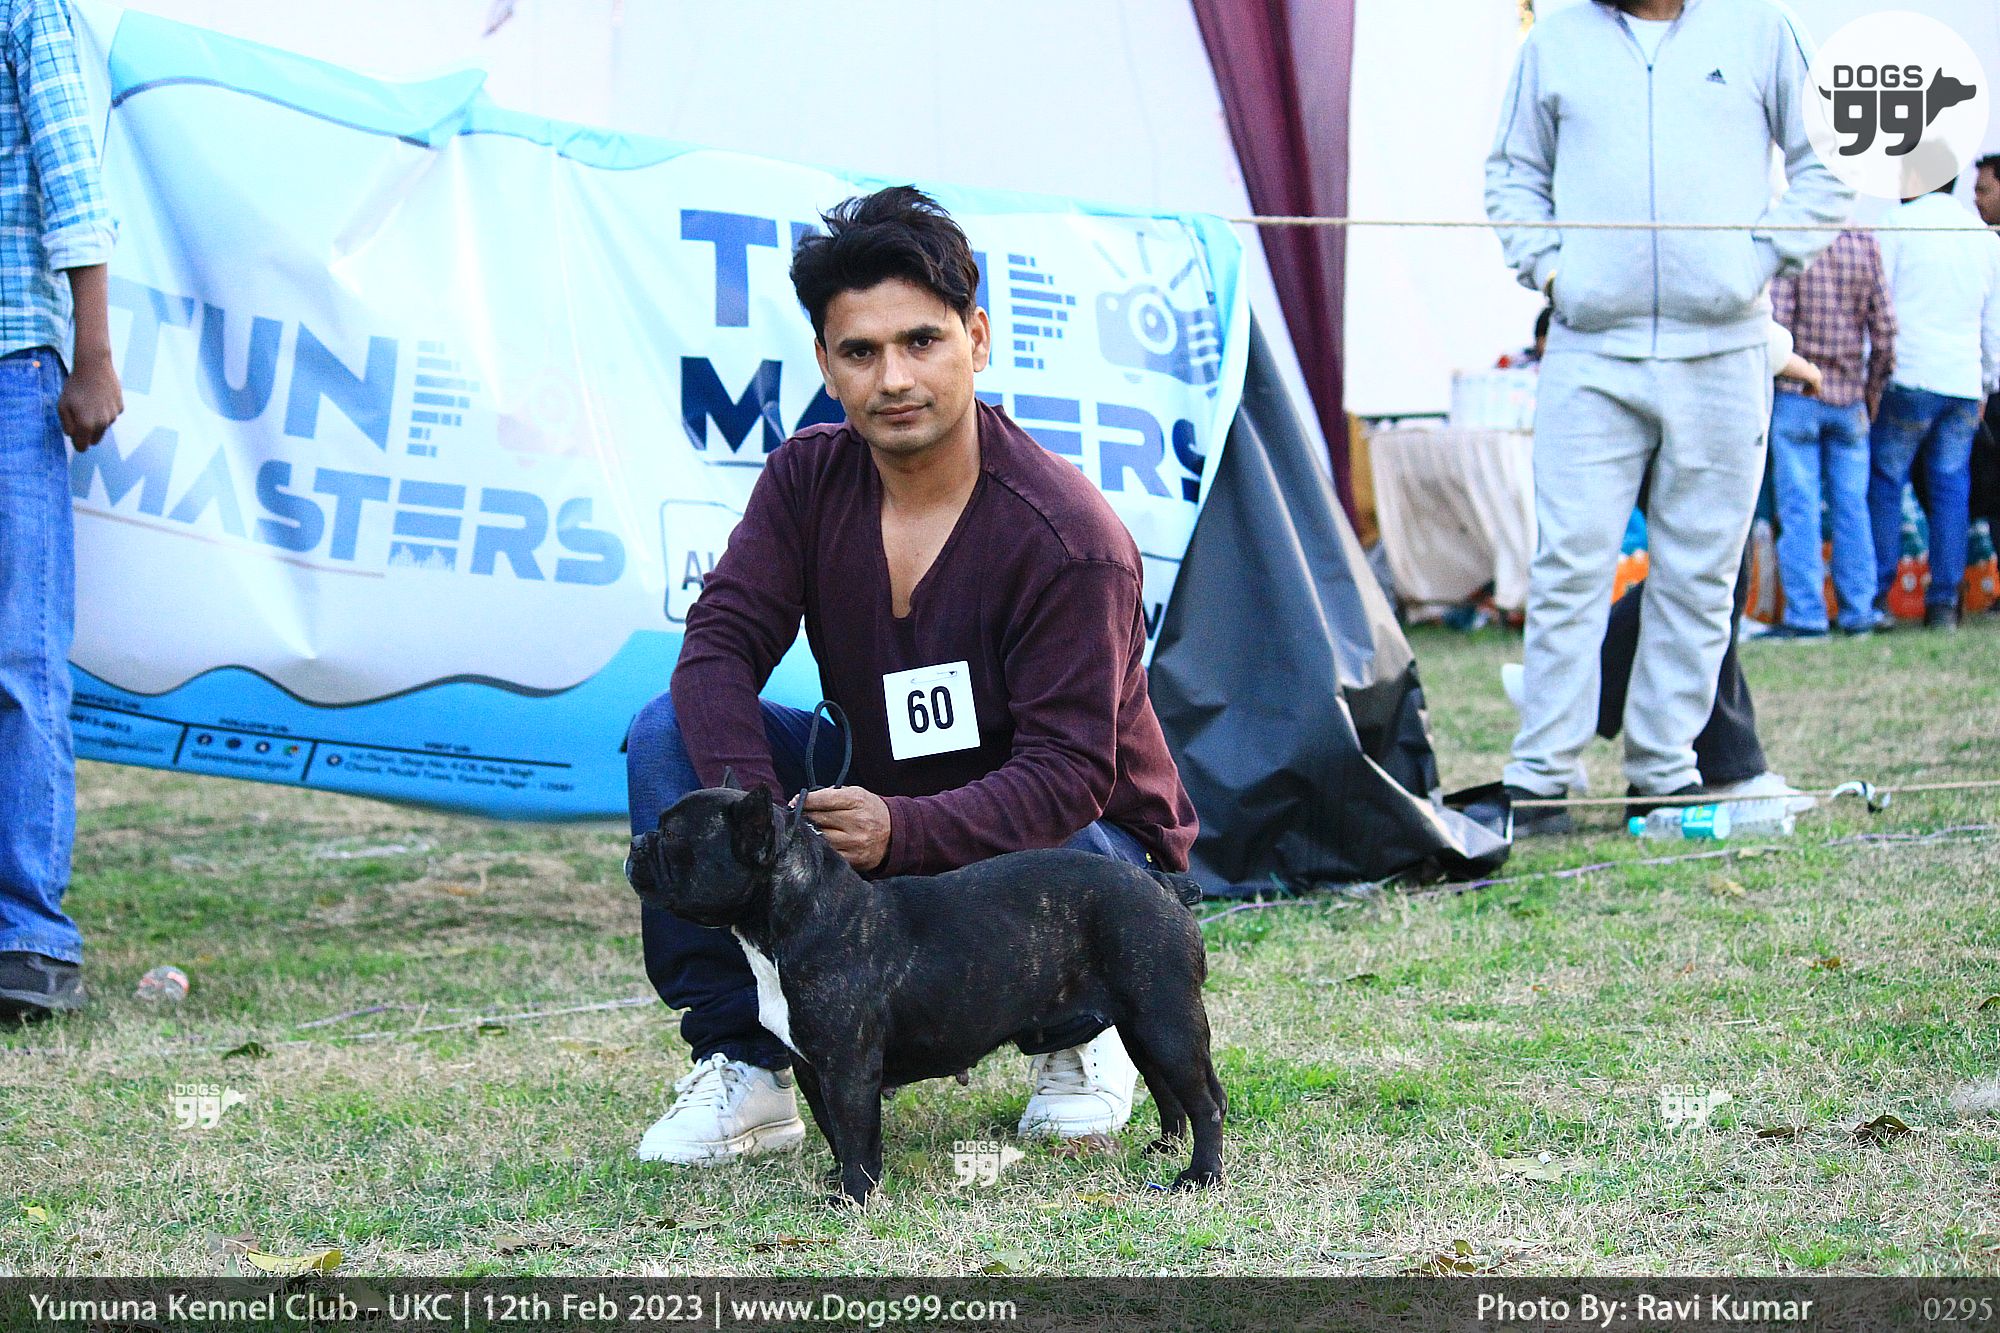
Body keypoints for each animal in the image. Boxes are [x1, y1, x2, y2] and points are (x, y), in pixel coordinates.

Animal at [626, 782, 1226, 1205]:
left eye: (674, 838)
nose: (637, 842)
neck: (797, 915)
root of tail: (1162, 886)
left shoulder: (848, 1069)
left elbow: (856, 1133)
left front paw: (853, 1197)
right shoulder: (811, 1067)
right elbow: (835, 1131)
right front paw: (838, 1179)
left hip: (1166, 1020)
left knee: (1205, 1100)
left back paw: (1199, 1176)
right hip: (1143, 1023)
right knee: (1168, 1088)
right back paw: (1165, 1148)